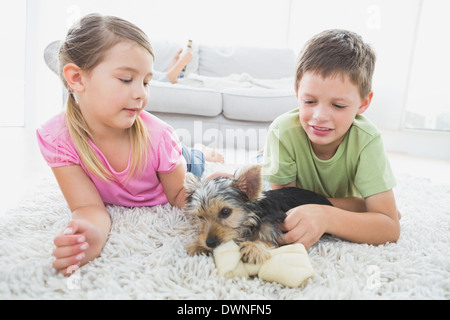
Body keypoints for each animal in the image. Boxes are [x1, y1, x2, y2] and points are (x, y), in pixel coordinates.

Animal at [185, 164, 332, 264]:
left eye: (225, 212)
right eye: (200, 217)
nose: (210, 242)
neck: (253, 219)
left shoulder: (272, 227)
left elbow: (267, 239)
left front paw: (254, 247)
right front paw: (197, 245)